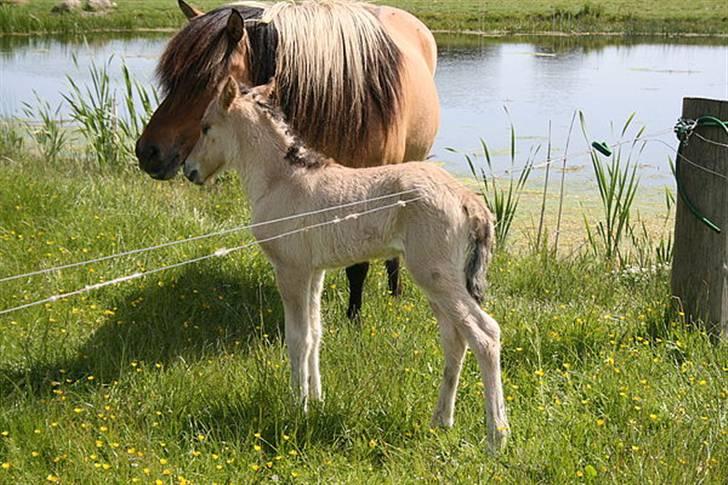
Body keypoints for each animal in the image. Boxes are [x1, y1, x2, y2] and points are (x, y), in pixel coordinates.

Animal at [136, 1, 440, 320]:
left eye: (204, 80)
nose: (147, 151)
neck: (347, 106)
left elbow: (357, 267)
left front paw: (353, 317)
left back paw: (395, 290)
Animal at [185, 75, 510, 450]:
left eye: (206, 126)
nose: (190, 170)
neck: (282, 180)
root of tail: (470, 200)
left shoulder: (291, 270)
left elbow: (297, 338)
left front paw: (297, 406)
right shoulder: (315, 271)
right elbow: (315, 333)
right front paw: (316, 399)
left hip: (436, 277)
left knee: (485, 334)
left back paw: (496, 436)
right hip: (439, 281)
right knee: (455, 339)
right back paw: (441, 420)